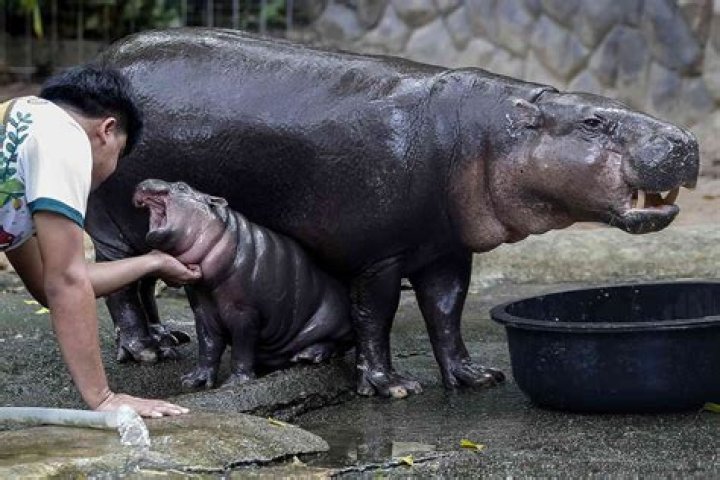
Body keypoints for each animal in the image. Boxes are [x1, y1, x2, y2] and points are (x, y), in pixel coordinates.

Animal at [132, 179, 353, 388]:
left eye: (182, 187)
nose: (143, 183)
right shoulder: (203, 311)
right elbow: (208, 345)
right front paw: (193, 380)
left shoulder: (244, 313)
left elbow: (241, 348)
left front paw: (235, 382)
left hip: (332, 320)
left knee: (338, 344)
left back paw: (307, 355)